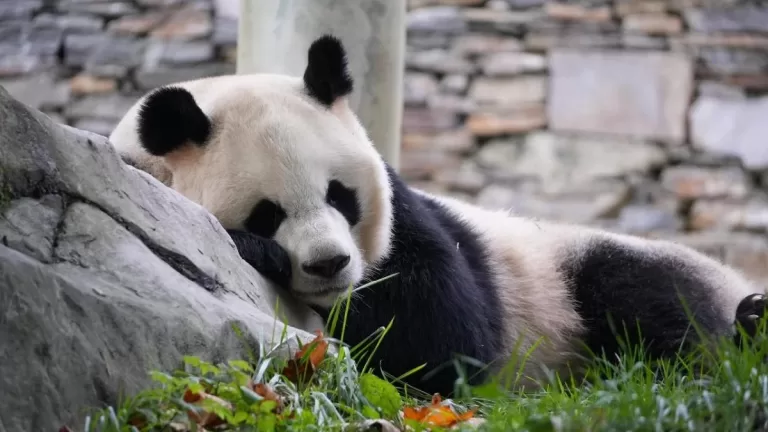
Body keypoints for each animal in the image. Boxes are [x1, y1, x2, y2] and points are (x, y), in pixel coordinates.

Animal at [109, 34, 768, 396]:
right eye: (266, 213)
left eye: (340, 196)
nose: (330, 265)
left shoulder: (412, 226)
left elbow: (443, 337)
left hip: (575, 270)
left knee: (653, 302)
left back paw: (734, 333)